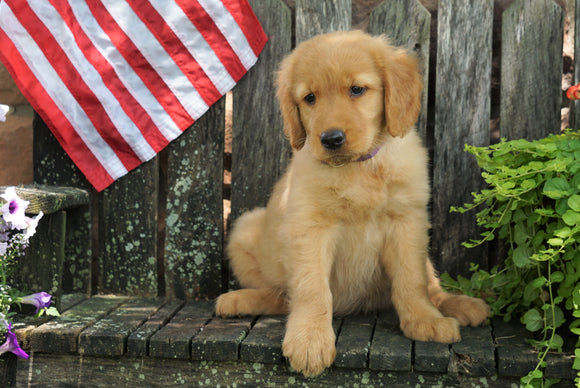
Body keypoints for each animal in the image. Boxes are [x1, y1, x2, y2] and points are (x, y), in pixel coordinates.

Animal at [215, 31, 488, 378]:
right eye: (309, 98)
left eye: (357, 90)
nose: (331, 139)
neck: (359, 167)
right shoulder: (309, 228)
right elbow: (311, 288)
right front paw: (309, 339)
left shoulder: (407, 221)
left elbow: (412, 280)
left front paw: (423, 320)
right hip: (245, 228)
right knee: (283, 295)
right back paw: (239, 300)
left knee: (431, 283)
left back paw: (458, 304)